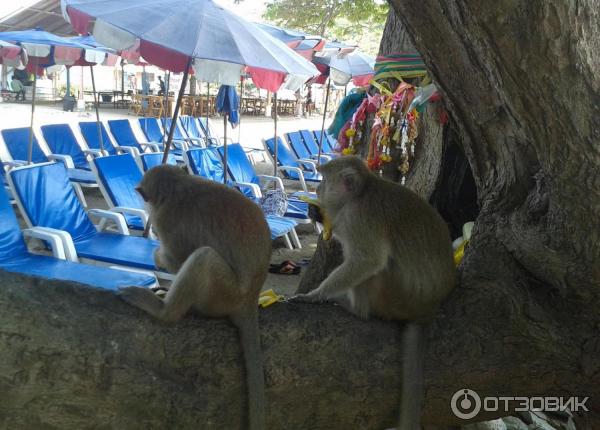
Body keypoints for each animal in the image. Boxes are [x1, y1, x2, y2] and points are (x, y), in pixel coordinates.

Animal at [119, 165, 270, 430]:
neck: (178, 185)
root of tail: (251, 299)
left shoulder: (166, 220)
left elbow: (176, 260)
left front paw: (158, 257)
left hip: (224, 293)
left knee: (203, 257)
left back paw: (164, 311)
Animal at [290, 156, 454, 430]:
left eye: (324, 179)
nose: (318, 189)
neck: (362, 191)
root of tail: (426, 311)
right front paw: (317, 214)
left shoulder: (357, 218)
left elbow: (368, 261)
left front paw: (316, 295)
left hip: (394, 294)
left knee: (375, 267)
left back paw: (355, 309)